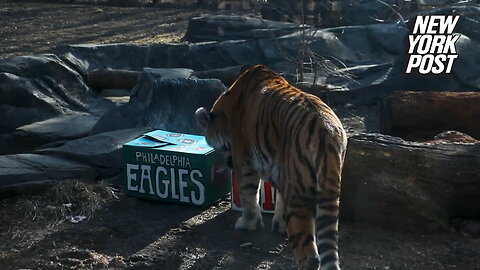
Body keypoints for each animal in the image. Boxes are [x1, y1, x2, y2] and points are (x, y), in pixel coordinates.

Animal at [196, 64, 348, 268]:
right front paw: (279, 225)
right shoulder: (283, 171)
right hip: (327, 187)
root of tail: (326, 130)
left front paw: (248, 223)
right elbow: (279, 199)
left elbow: (248, 194)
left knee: (309, 255)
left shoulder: (244, 160)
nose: (228, 163)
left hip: (299, 192)